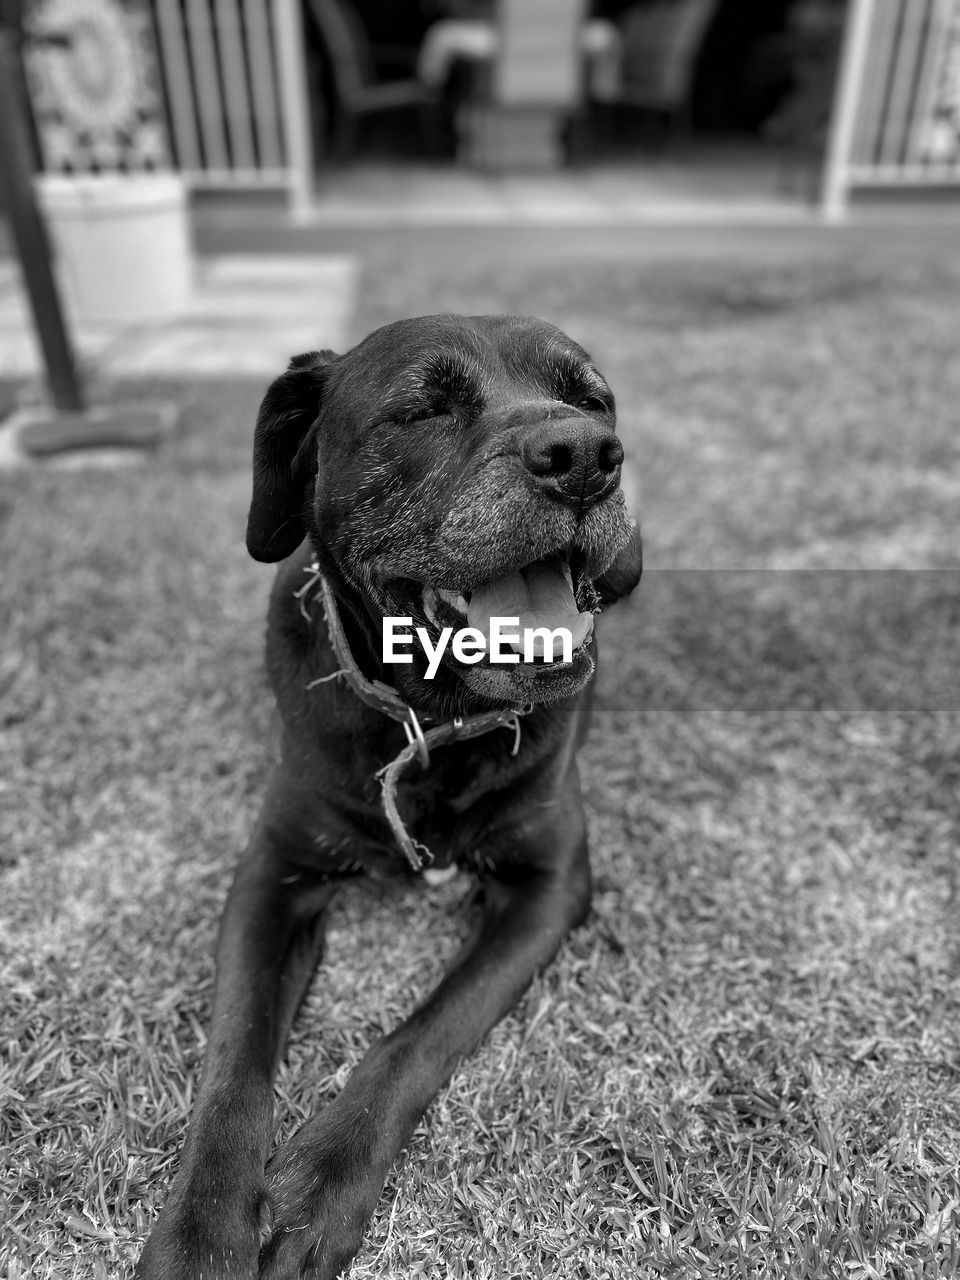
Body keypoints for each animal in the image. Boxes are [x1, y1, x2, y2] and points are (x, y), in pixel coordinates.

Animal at [135, 314, 642, 1280]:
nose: (585, 456)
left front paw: (321, 1185)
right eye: (421, 410)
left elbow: (421, 1035)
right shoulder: (273, 874)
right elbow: (233, 1058)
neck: (432, 721)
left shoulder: (549, 884)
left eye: (592, 399)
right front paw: (198, 1234)